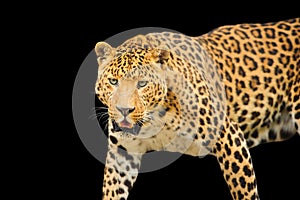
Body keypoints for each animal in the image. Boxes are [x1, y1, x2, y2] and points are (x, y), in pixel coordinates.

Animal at [94, 18, 300, 199]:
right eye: (113, 81)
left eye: (142, 83)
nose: (123, 110)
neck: (155, 120)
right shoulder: (122, 153)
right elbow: (112, 191)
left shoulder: (229, 136)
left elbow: (244, 189)